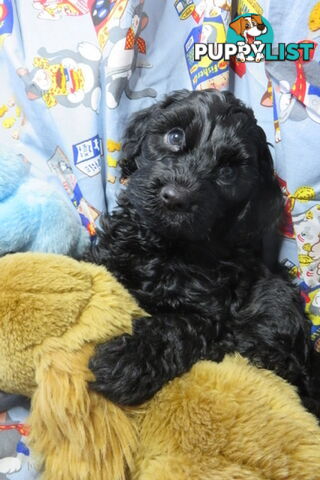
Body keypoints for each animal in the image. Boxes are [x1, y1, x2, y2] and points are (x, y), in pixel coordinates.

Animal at [87, 90, 320, 416]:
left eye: (228, 172)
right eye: (174, 136)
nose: (176, 198)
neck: (168, 246)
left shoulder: (210, 315)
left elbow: (173, 327)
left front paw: (125, 360)